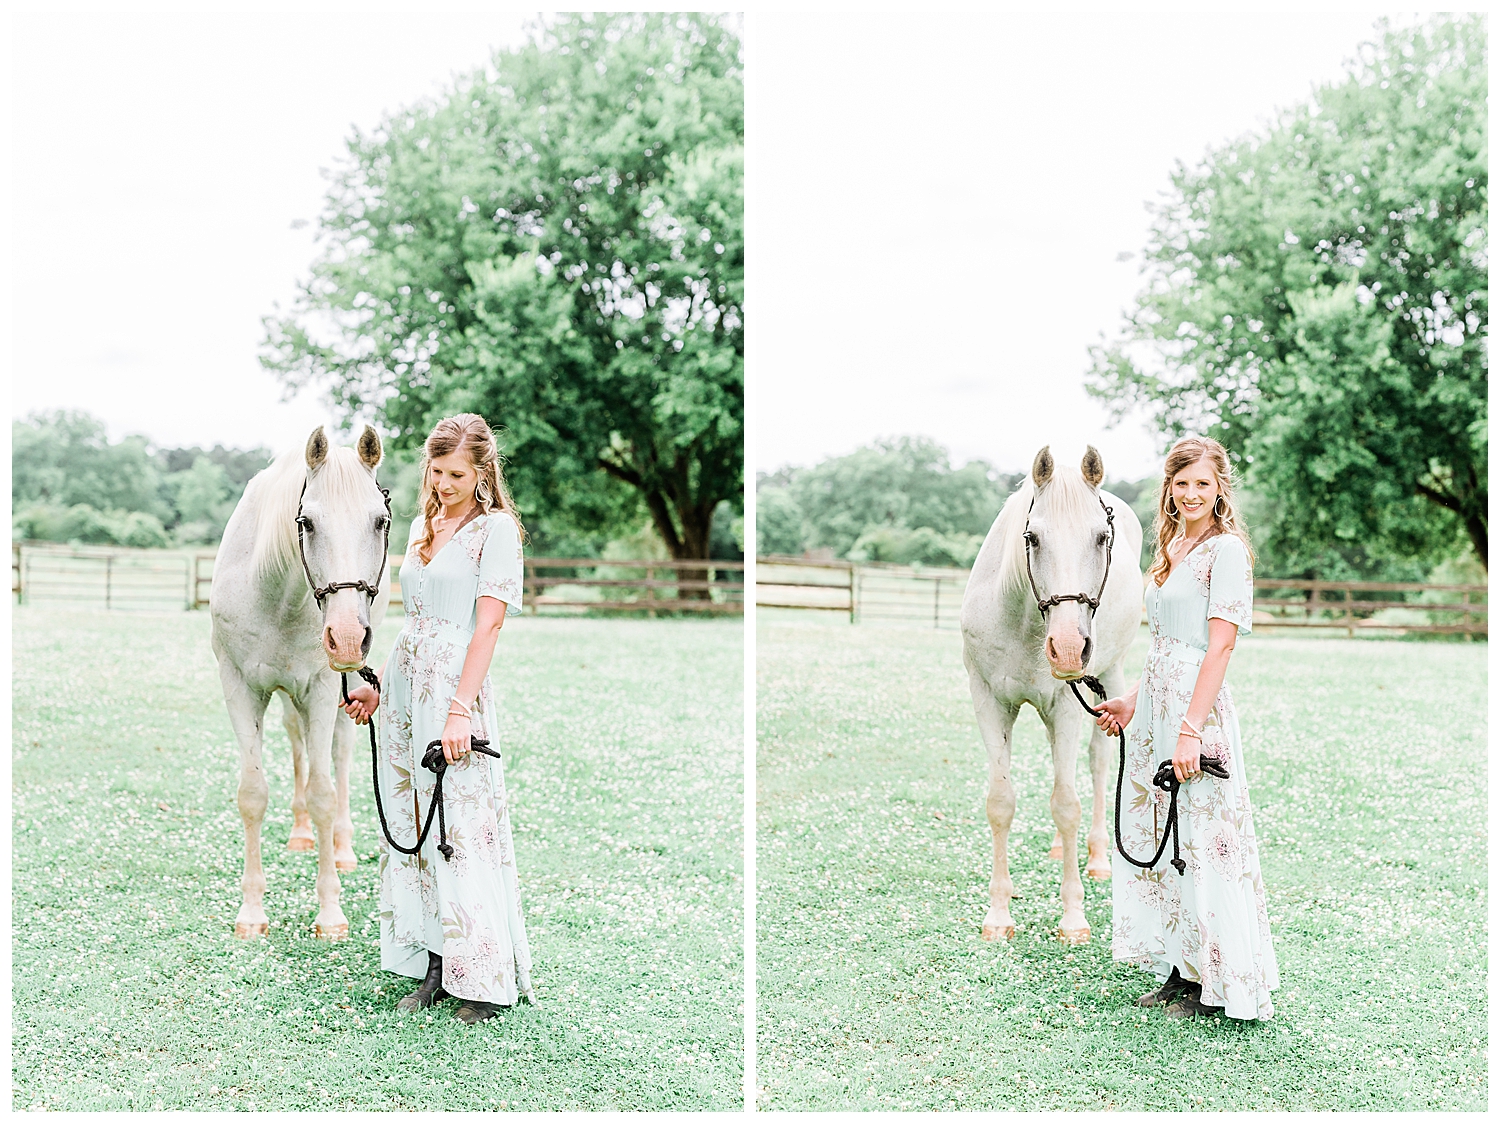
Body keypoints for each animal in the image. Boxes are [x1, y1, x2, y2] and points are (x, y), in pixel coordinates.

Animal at [210, 425, 390, 939]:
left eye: (380, 521)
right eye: (306, 523)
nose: (347, 638)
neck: (279, 595)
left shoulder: (324, 690)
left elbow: (324, 792)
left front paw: (330, 912)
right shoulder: (239, 688)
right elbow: (252, 795)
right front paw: (252, 912)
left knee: (339, 757)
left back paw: (342, 848)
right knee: (297, 746)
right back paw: (301, 833)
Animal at [958, 445, 1143, 944]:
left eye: (1101, 537)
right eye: (1033, 537)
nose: (1068, 649)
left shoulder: (1066, 704)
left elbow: (1066, 805)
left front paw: (1073, 918)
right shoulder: (988, 701)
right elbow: (1001, 803)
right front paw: (998, 914)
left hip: (1111, 675)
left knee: (1097, 763)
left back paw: (1096, 858)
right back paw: (1062, 850)